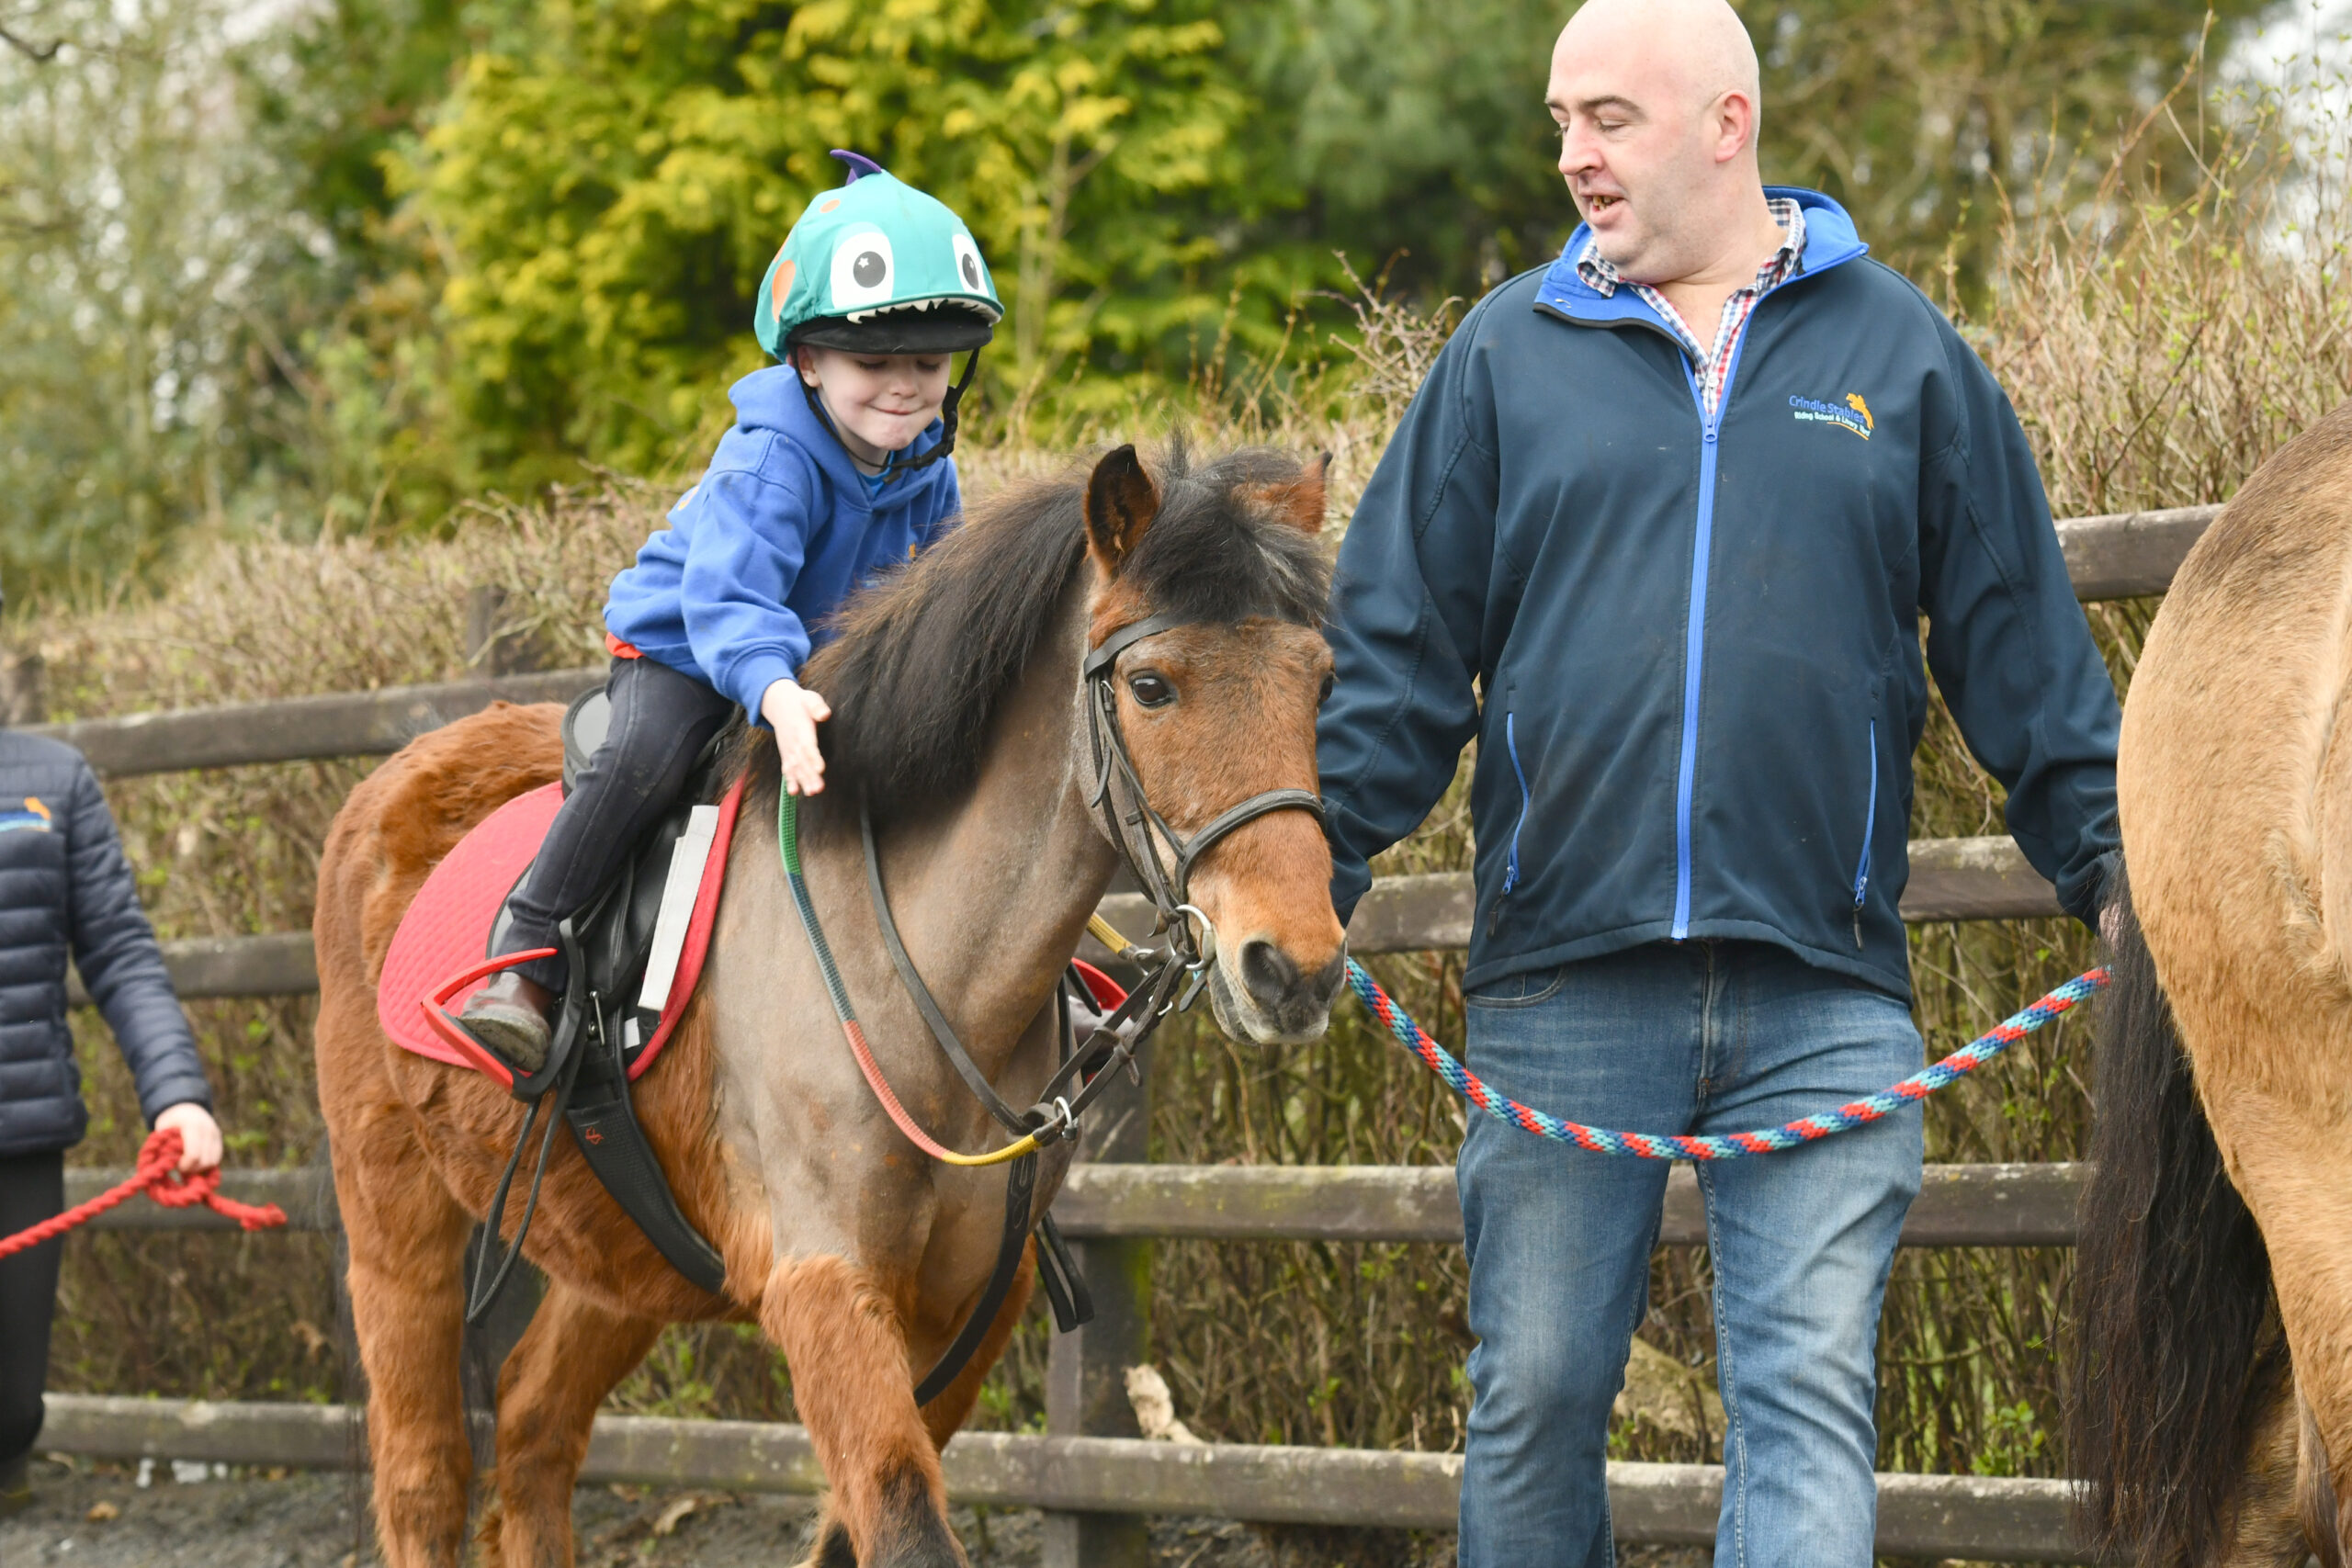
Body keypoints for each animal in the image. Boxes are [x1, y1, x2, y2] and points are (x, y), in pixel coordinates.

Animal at [310, 444, 1345, 1568]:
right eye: (1152, 686)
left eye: (1321, 682)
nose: (1296, 969)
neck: (922, 984)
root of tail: (392, 782)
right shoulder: (826, 1287)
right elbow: (903, 1526)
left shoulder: (967, 1308)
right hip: (394, 1219)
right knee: (423, 1473)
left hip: (619, 1250)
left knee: (536, 1435)